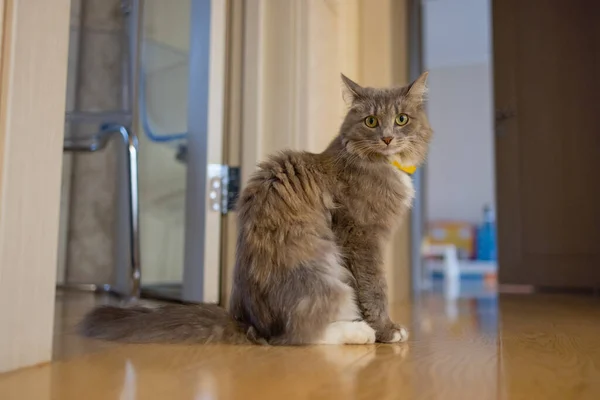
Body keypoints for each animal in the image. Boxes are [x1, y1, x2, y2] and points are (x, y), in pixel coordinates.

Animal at [82, 71, 434, 344]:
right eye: (371, 121)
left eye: (401, 119)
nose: (387, 138)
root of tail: (248, 322)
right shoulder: (362, 237)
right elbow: (374, 289)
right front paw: (387, 331)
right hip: (324, 272)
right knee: (298, 335)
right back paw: (359, 332)